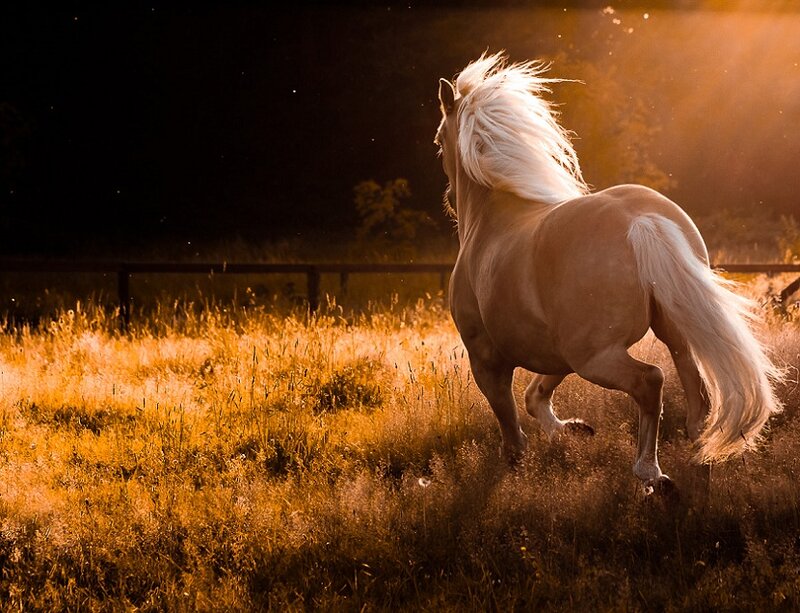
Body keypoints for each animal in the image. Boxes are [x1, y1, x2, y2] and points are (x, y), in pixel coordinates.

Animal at [434, 51, 783, 496]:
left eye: (438, 141)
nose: (447, 198)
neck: (491, 220)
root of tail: (641, 221)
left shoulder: (488, 360)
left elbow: (512, 430)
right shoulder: (556, 352)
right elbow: (535, 396)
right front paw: (573, 429)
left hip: (596, 358)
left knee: (650, 381)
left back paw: (653, 474)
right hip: (670, 338)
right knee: (698, 405)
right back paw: (698, 470)